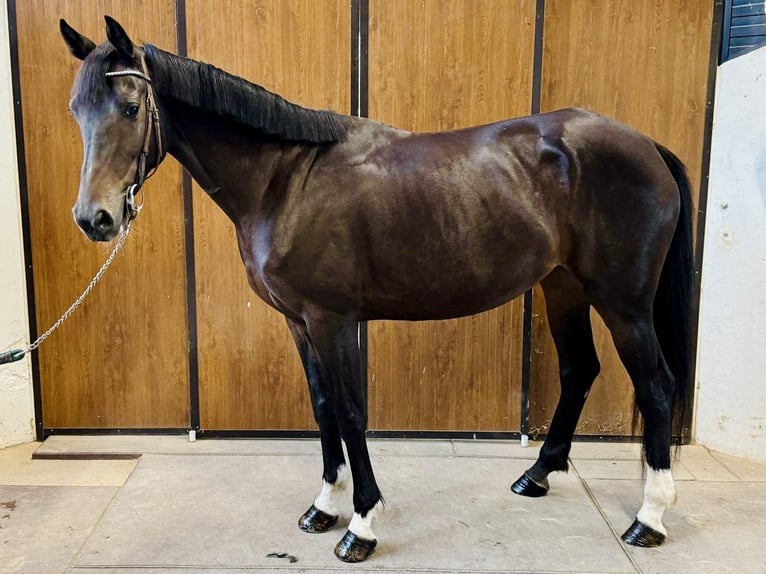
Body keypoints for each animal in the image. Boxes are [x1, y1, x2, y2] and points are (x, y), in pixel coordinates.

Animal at [61, 16, 696, 564]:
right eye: (75, 110)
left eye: (131, 106)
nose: (95, 219)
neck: (286, 181)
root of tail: (647, 146)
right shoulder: (298, 323)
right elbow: (321, 408)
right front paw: (323, 507)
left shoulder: (333, 320)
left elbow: (349, 411)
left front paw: (361, 525)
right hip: (563, 288)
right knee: (579, 370)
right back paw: (536, 475)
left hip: (624, 303)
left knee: (656, 385)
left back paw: (649, 518)